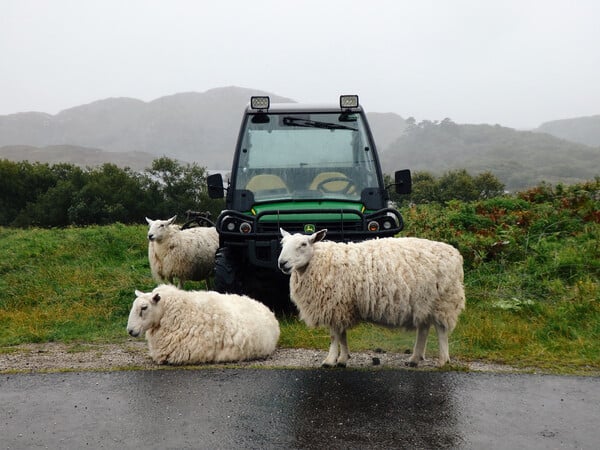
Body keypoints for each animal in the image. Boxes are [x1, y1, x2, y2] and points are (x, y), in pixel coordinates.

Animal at [278, 230, 466, 368]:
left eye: (303, 244)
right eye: (283, 244)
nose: (282, 263)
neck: (319, 261)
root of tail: (455, 254)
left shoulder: (336, 304)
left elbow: (334, 336)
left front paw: (330, 360)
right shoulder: (343, 306)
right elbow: (342, 335)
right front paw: (343, 359)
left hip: (443, 301)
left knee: (441, 331)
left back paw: (443, 360)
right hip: (423, 302)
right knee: (424, 328)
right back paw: (414, 358)